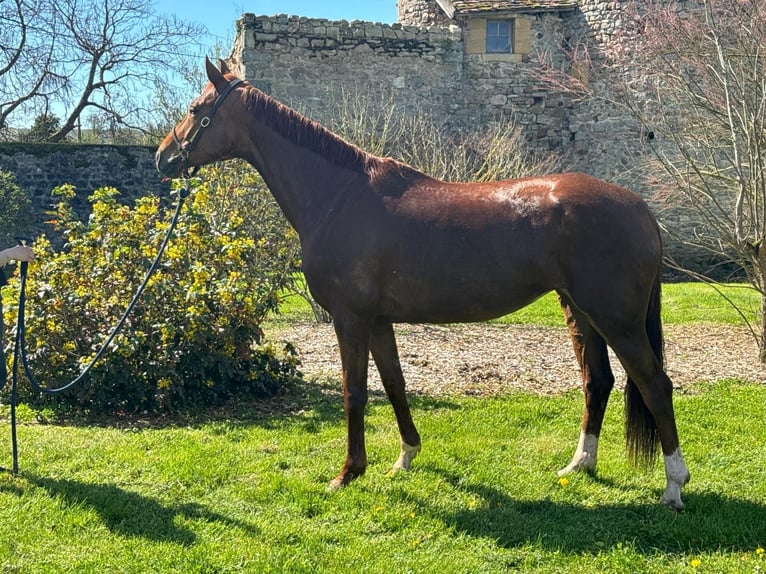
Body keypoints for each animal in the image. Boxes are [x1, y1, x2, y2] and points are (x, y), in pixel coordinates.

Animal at [154, 59, 688, 512]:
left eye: (196, 110)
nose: (163, 158)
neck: (339, 196)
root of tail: (640, 207)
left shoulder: (349, 318)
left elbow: (354, 391)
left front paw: (348, 473)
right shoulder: (378, 320)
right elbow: (394, 382)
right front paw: (406, 456)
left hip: (617, 319)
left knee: (655, 384)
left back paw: (674, 486)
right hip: (580, 311)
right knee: (598, 381)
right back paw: (579, 465)